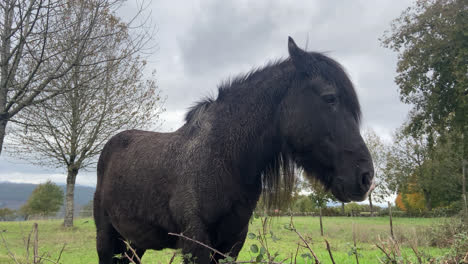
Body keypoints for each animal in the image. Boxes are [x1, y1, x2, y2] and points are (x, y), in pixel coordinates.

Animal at [93, 37, 374, 264]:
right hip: (106, 239)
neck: (223, 158)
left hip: (134, 244)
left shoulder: (232, 243)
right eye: (330, 98)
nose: (366, 177)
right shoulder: (196, 242)